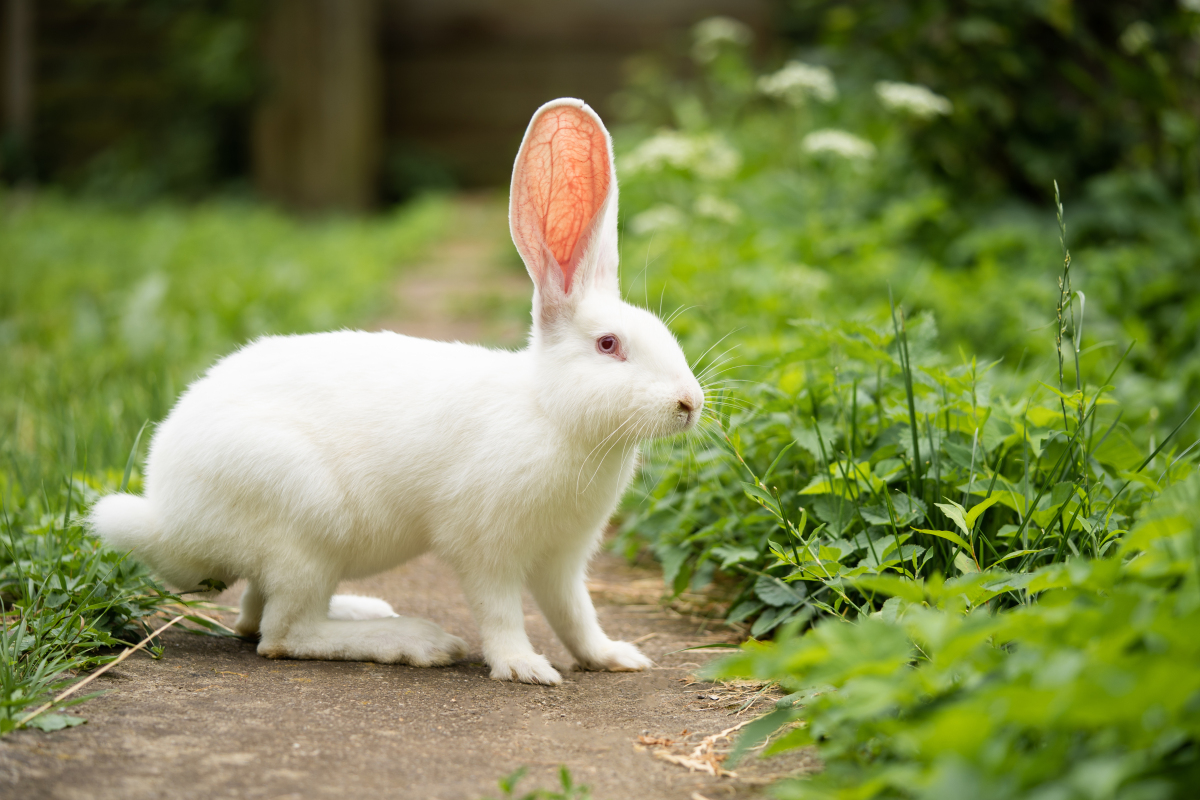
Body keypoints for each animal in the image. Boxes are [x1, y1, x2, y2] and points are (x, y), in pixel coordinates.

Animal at [91, 97, 700, 686]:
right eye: (608, 345)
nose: (690, 404)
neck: (549, 413)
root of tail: (169, 519)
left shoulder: (563, 559)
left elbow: (575, 614)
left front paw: (615, 657)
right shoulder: (486, 549)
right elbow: (501, 613)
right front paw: (525, 668)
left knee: (252, 617)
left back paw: (368, 610)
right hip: (304, 525)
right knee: (283, 634)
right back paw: (417, 641)